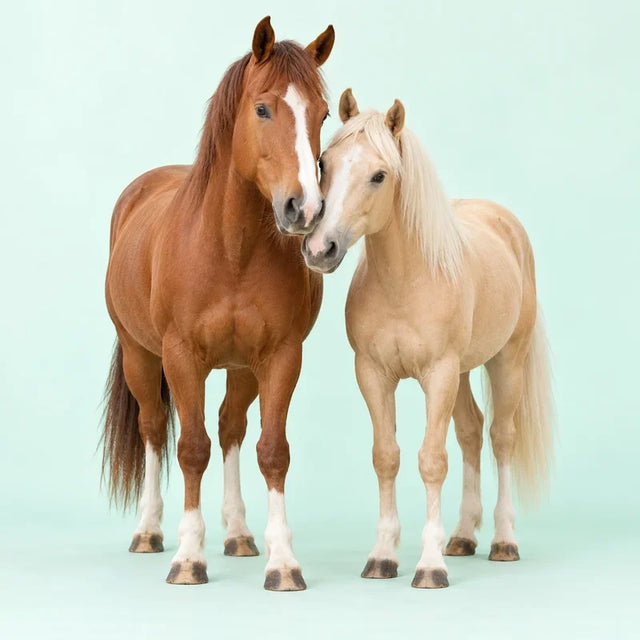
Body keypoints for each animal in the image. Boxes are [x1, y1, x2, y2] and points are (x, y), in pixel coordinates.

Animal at [102, 17, 335, 591]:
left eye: (323, 114)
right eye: (263, 109)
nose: (305, 209)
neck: (231, 250)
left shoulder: (280, 357)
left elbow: (271, 451)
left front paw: (283, 562)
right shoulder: (182, 356)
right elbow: (191, 449)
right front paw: (188, 558)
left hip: (241, 367)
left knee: (231, 427)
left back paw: (239, 534)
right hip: (141, 356)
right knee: (153, 431)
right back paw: (149, 532)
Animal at [302, 89, 554, 588]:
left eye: (379, 175)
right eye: (324, 162)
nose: (321, 249)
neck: (405, 281)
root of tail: (505, 223)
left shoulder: (438, 375)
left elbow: (431, 461)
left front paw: (430, 564)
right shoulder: (373, 374)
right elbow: (387, 456)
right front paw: (383, 555)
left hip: (505, 362)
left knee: (500, 437)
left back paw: (503, 540)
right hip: (462, 373)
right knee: (472, 433)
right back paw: (462, 536)